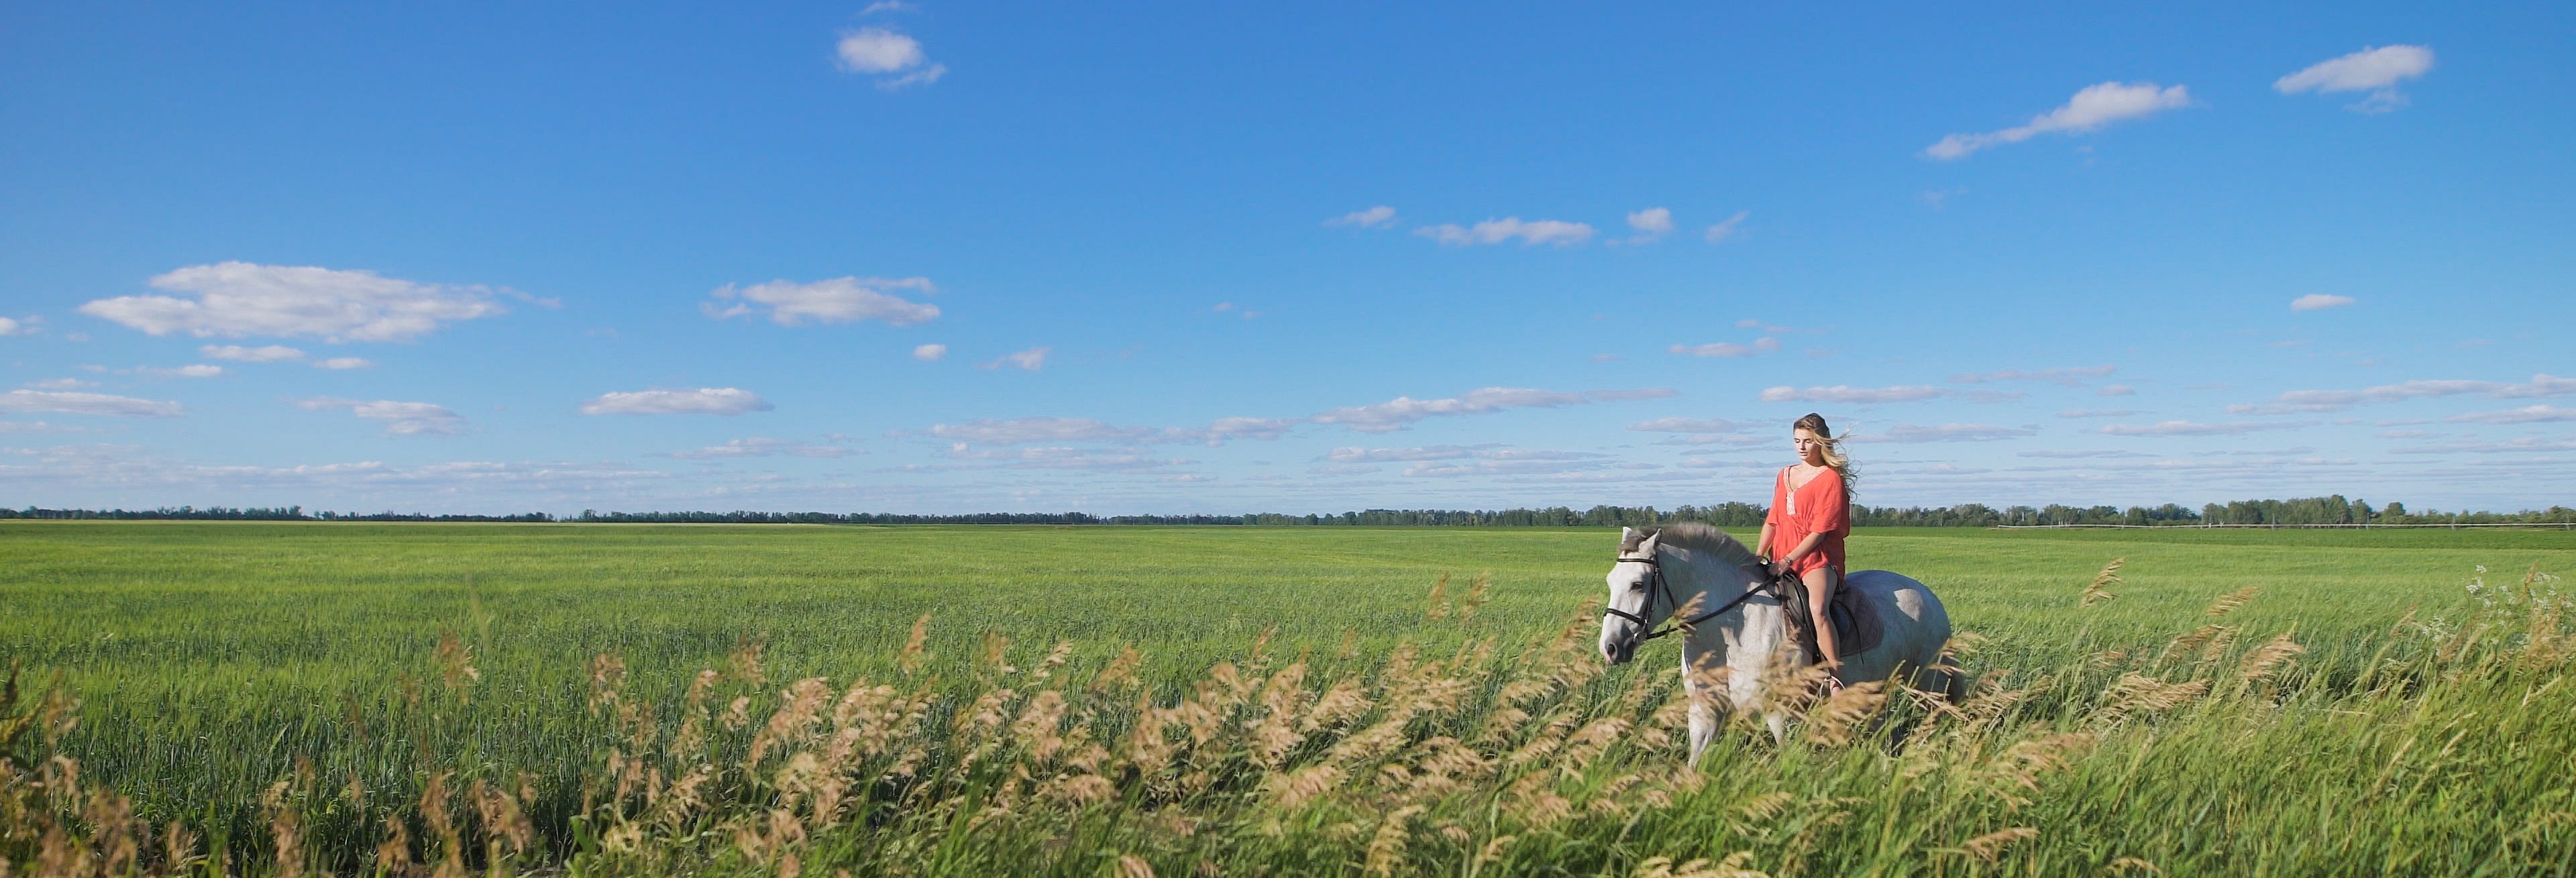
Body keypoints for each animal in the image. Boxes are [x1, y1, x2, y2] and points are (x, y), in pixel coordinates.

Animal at [1587, 520, 1968, 757]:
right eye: (1610, 581)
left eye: (1638, 584)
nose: (1610, 647)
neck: (1730, 628)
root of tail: (1928, 596)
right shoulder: (1705, 711)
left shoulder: (1780, 712)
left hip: (1929, 687)